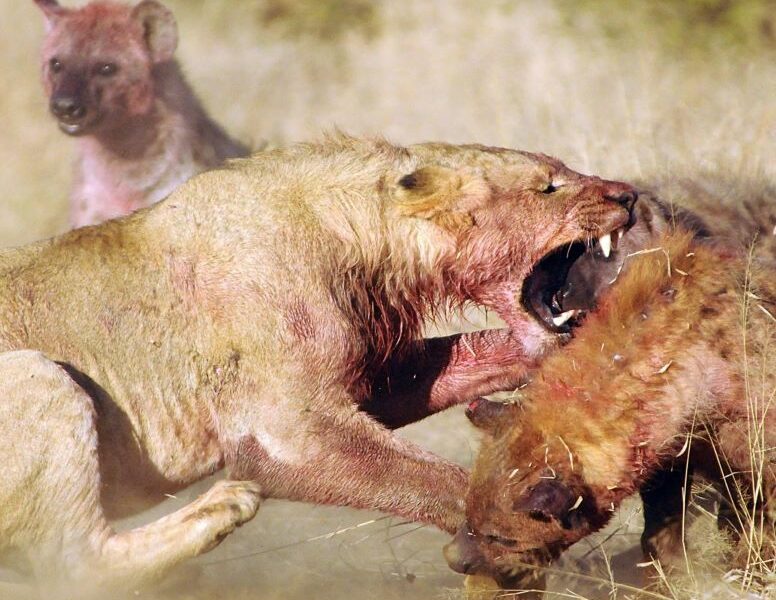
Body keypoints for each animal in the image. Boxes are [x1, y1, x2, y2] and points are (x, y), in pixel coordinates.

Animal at [0, 135, 636, 594]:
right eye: (548, 186)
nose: (627, 196)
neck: (360, 242)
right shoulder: (288, 433)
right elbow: (438, 482)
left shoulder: (363, 373)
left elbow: (473, 356)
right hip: (37, 376)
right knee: (70, 564)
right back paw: (223, 506)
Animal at [444, 193, 776, 597]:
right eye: (469, 513)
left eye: (502, 538)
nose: (452, 558)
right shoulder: (671, 457)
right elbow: (660, 538)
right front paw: (668, 582)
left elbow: (758, 533)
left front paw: (744, 576)